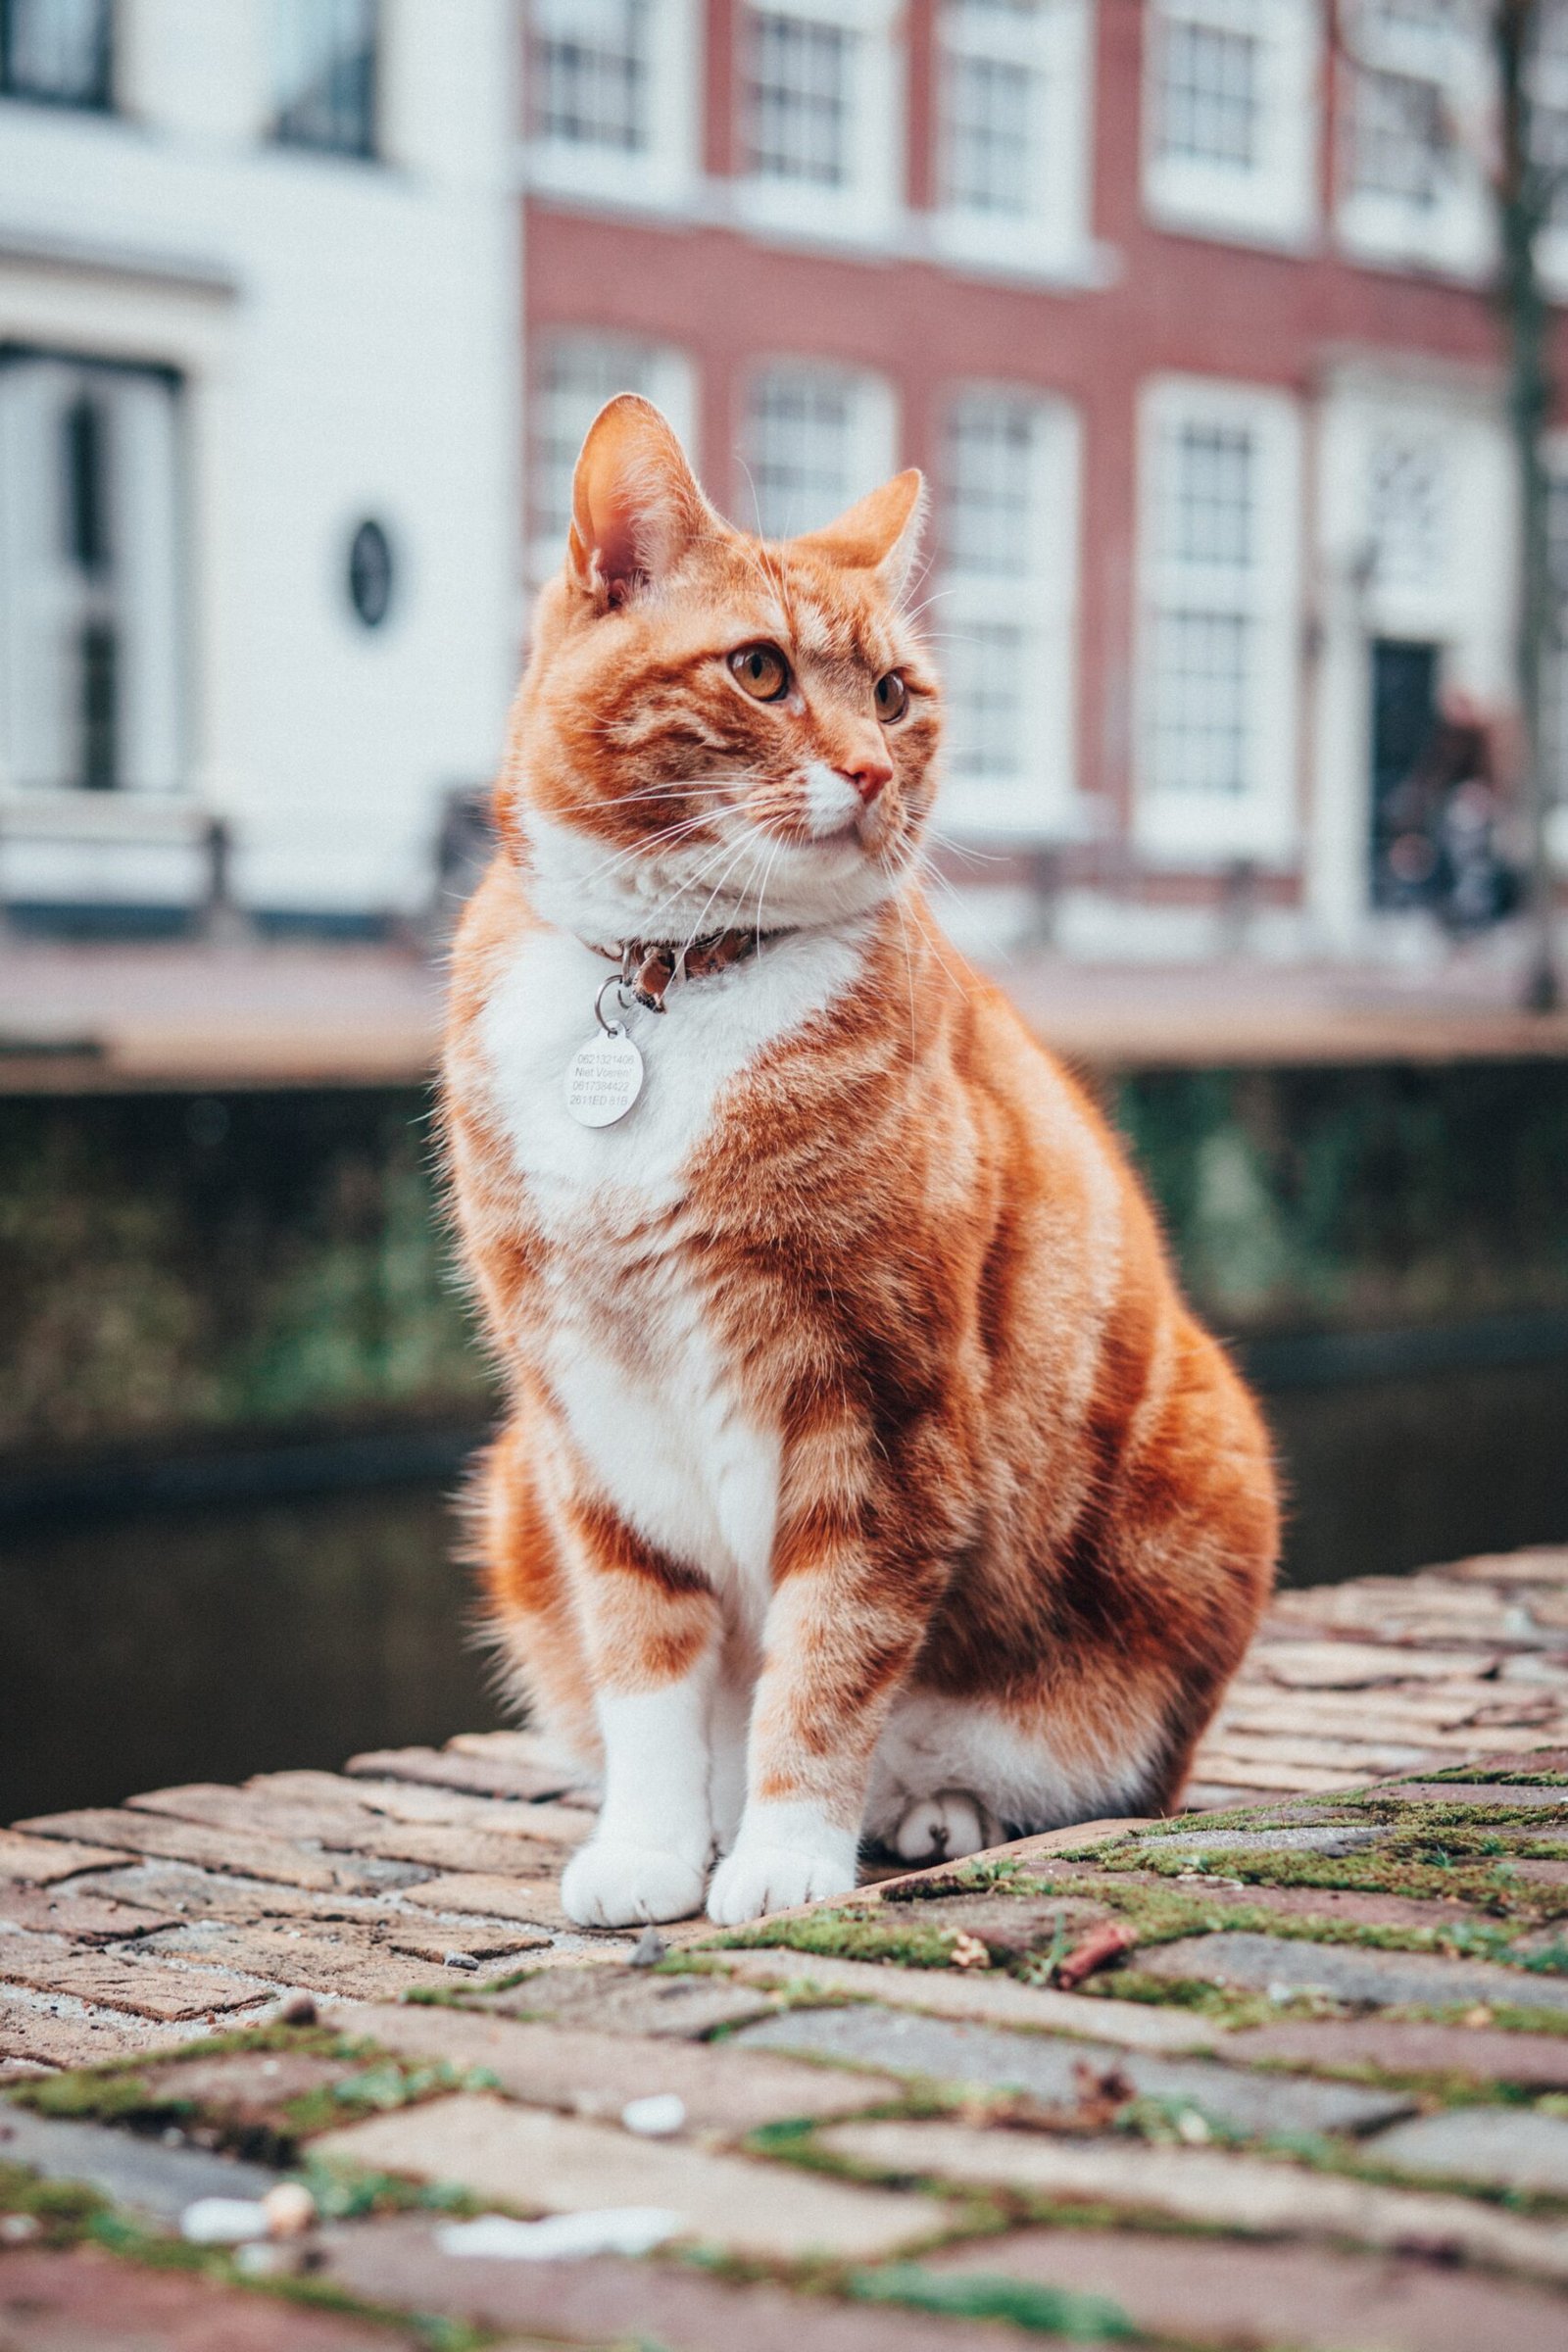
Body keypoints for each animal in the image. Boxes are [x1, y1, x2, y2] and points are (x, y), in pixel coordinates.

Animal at [441, 395, 1278, 1919]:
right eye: (761, 671)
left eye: (893, 694)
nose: (876, 769)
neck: (670, 981)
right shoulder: (592, 1414)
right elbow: (647, 1663)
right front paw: (652, 1852)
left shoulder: (875, 1408)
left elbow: (826, 1665)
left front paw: (783, 1858)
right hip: (515, 1491)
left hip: (1197, 1484)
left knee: (1016, 1765)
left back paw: (930, 1812)